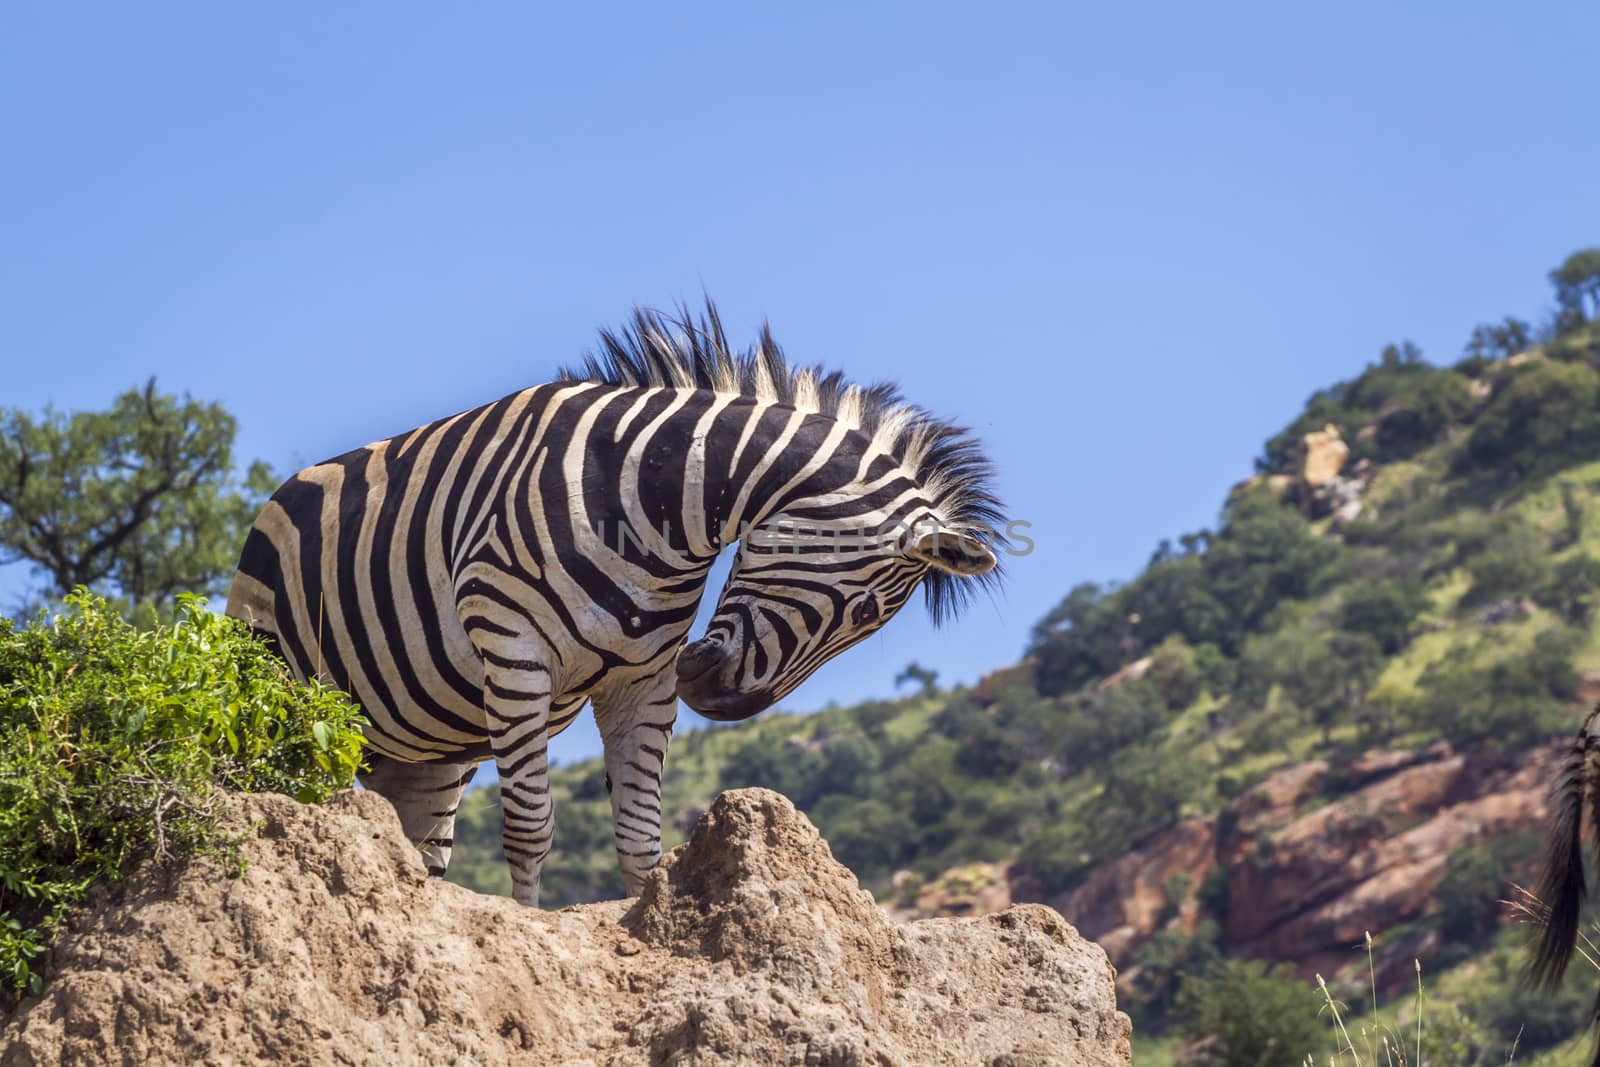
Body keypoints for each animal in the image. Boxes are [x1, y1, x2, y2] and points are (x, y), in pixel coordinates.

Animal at [225, 302, 998, 908]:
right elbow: (531, 828)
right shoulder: (512, 648)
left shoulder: (645, 682)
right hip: (282, 693)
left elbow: (640, 839)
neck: (656, 502)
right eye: (864, 610)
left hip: (424, 746)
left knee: (417, 847)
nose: (720, 702)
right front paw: (529, 929)